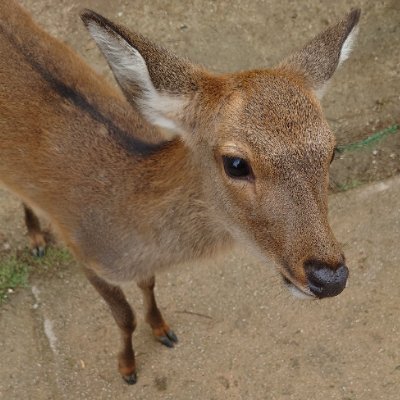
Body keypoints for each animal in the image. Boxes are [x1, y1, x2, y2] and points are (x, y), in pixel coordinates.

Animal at [0, 1, 360, 386]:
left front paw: (162, 329)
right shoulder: (84, 253)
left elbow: (149, 284)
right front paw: (127, 367)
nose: (329, 278)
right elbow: (123, 316)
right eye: (236, 163)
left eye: (332, 150)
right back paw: (36, 238)